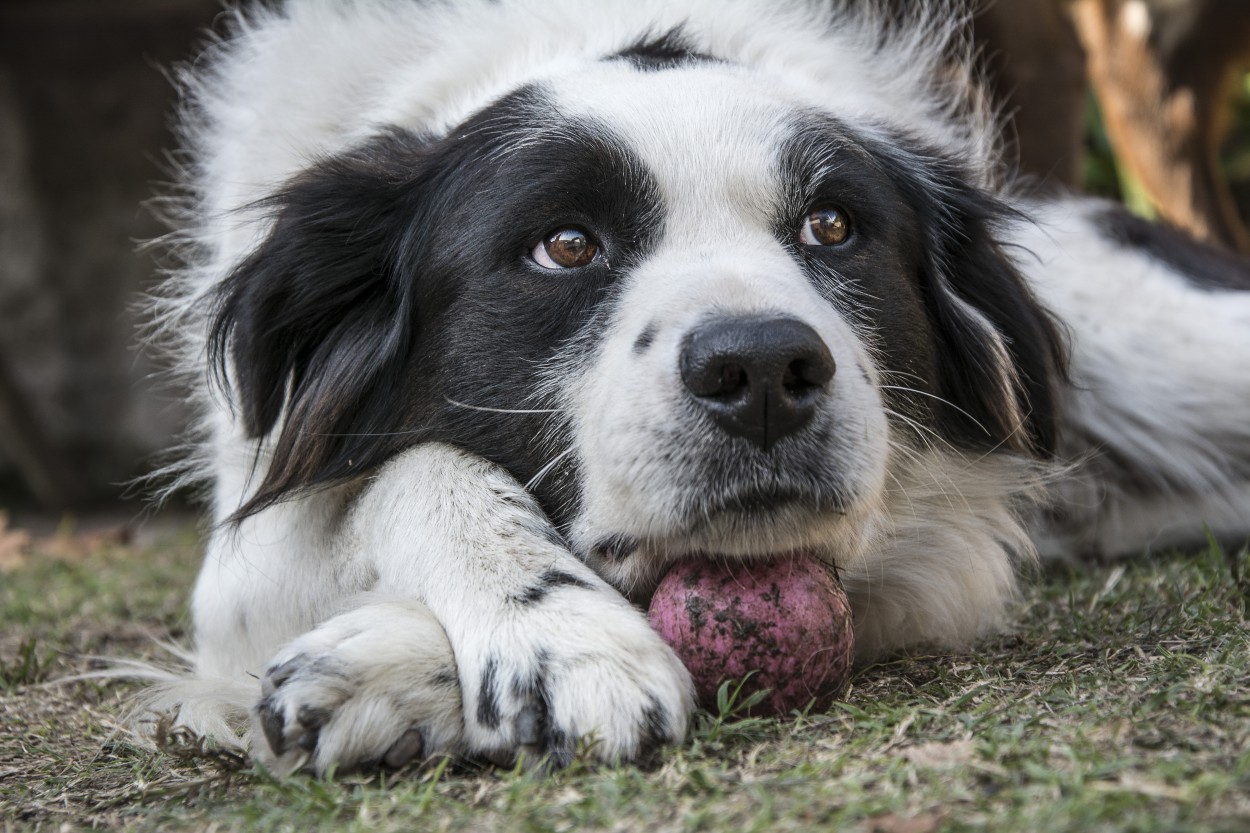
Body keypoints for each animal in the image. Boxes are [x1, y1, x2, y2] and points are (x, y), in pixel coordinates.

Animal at [136, 3, 1250, 775]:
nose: (759, 370)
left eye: (831, 226)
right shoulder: (244, 529)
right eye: (564, 244)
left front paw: (413, 666)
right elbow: (411, 465)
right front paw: (556, 635)